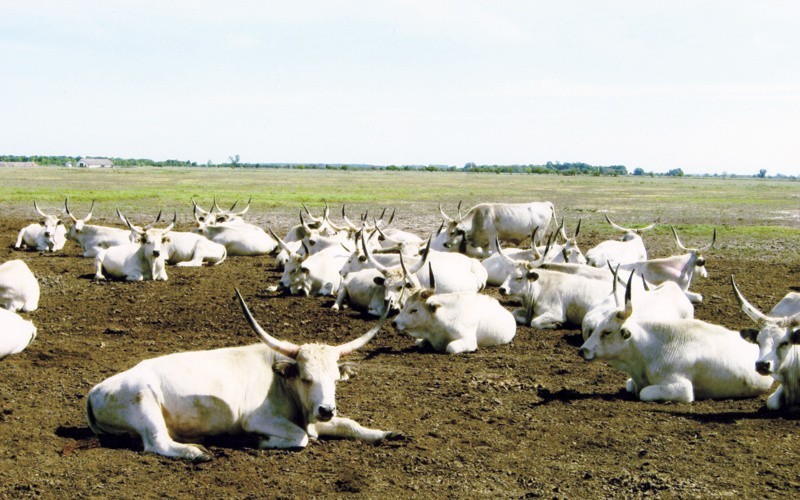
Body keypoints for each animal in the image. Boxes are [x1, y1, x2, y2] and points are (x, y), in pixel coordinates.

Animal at [86, 292, 400, 462]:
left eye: (335, 379)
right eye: (306, 377)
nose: (326, 409)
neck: (281, 383)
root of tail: (95, 391)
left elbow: (349, 424)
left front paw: (386, 433)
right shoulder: (257, 419)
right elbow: (301, 439)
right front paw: (260, 442)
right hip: (145, 406)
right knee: (156, 443)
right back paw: (198, 453)